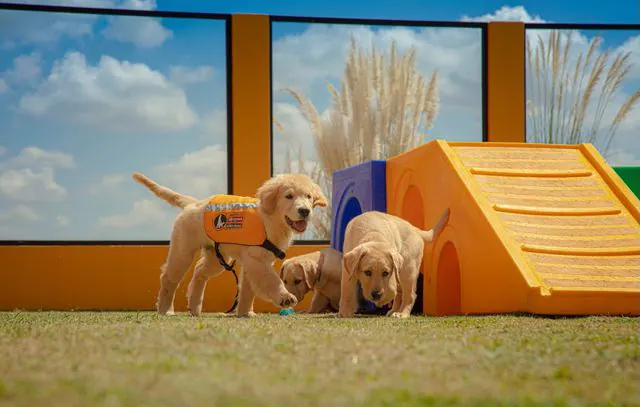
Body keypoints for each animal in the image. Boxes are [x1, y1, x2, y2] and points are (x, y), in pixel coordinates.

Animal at [132, 172, 328, 318]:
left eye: (309, 197)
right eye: (289, 196)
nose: (305, 211)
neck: (269, 220)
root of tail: (193, 203)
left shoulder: (253, 262)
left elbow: (247, 289)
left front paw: (245, 313)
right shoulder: (257, 260)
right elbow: (272, 280)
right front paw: (285, 297)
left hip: (217, 257)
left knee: (199, 271)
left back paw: (195, 307)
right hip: (183, 251)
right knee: (169, 278)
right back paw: (166, 309)